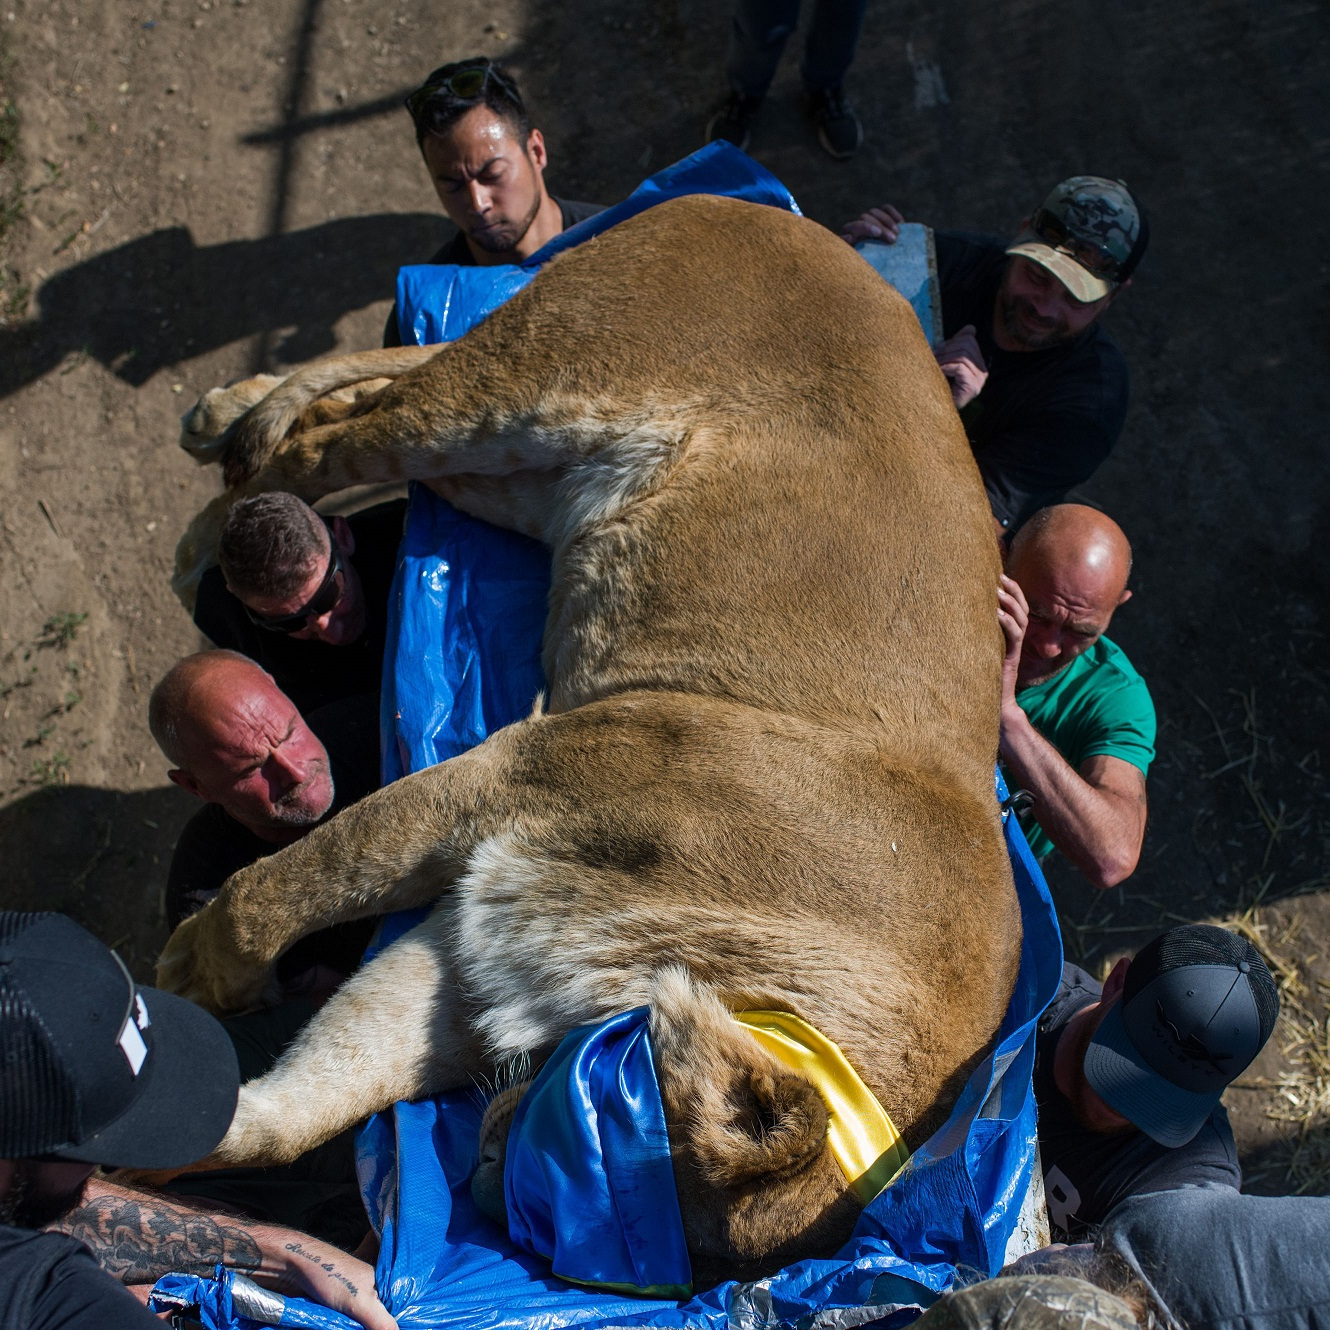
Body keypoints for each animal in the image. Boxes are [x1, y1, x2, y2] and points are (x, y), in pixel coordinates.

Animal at [160, 192, 1021, 1282]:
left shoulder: (488, 939)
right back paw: (211, 528)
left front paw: (195, 1131)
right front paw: (193, 977)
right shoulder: (530, 773)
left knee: (378, 385)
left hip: (511, 472)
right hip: (535, 387)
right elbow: (289, 885)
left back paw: (227, 412)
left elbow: (314, 1094)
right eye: (601, 1176)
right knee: (329, 440)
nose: (484, 1179)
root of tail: (769, 209)